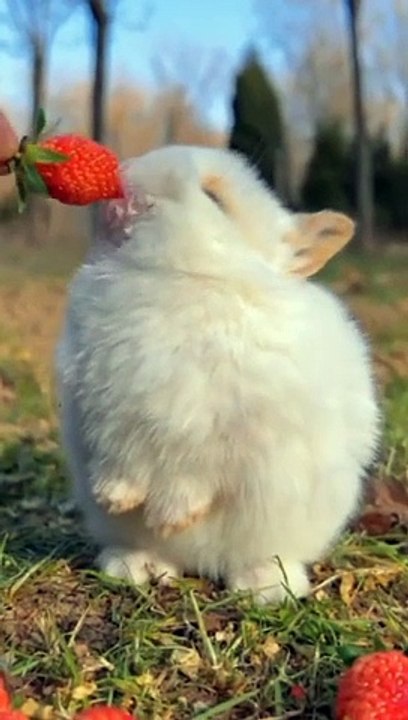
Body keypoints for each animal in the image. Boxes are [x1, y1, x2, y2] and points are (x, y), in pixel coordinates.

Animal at [55, 145, 380, 604]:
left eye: (214, 197)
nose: (124, 182)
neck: (182, 278)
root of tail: (203, 564)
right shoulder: (103, 415)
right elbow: (119, 460)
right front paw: (114, 497)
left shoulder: (222, 427)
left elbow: (196, 472)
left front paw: (170, 515)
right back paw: (134, 566)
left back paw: (263, 587)